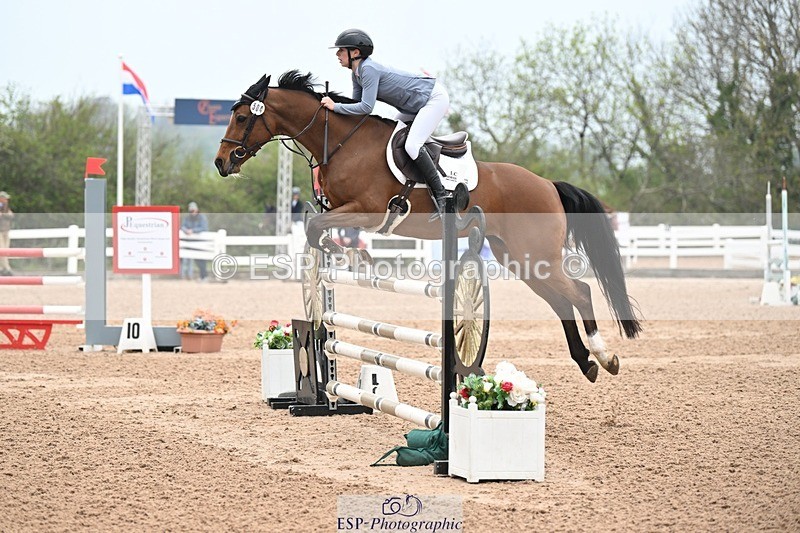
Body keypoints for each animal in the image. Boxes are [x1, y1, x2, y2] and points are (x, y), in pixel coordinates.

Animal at [215, 71, 642, 382]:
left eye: (242, 117)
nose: (221, 163)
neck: (341, 142)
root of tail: (548, 184)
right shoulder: (340, 208)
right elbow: (315, 228)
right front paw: (346, 257)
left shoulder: (367, 211)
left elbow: (315, 226)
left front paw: (347, 256)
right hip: (518, 259)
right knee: (561, 302)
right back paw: (587, 363)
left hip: (535, 254)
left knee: (581, 292)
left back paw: (605, 357)